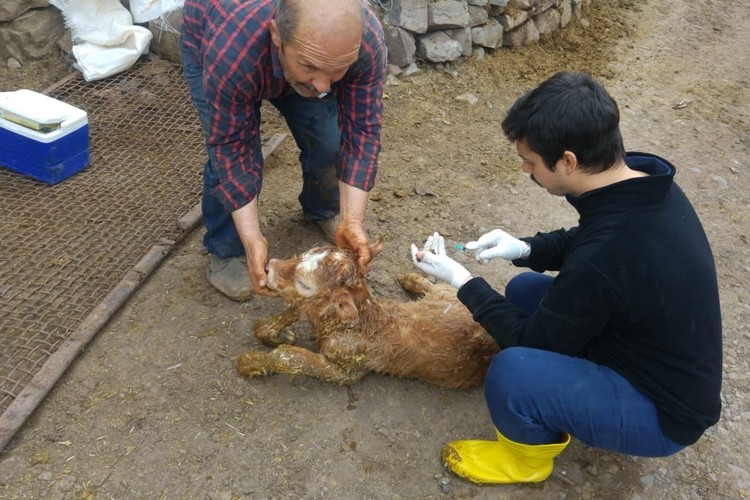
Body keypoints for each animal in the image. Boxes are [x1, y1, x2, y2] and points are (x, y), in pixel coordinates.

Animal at [238, 239, 502, 390]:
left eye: (304, 283)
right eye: (302, 255)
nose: (268, 267)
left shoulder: (347, 371)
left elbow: (289, 356)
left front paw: (251, 362)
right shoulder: (308, 308)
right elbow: (288, 312)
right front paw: (274, 335)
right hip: (449, 299)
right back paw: (411, 279)